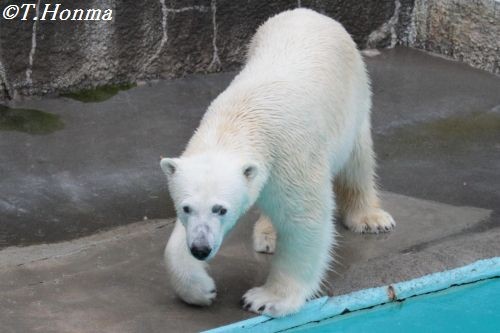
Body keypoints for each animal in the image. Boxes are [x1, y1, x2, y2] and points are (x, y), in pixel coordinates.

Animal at [160, 8, 394, 316]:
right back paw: (268, 235)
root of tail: (308, 12)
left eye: (221, 209)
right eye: (185, 207)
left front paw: (267, 298)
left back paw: (369, 218)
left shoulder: (292, 153)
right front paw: (200, 288)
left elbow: (304, 219)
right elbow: (176, 239)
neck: (238, 121)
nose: (201, 249)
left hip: (353, 97)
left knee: (357, 162)